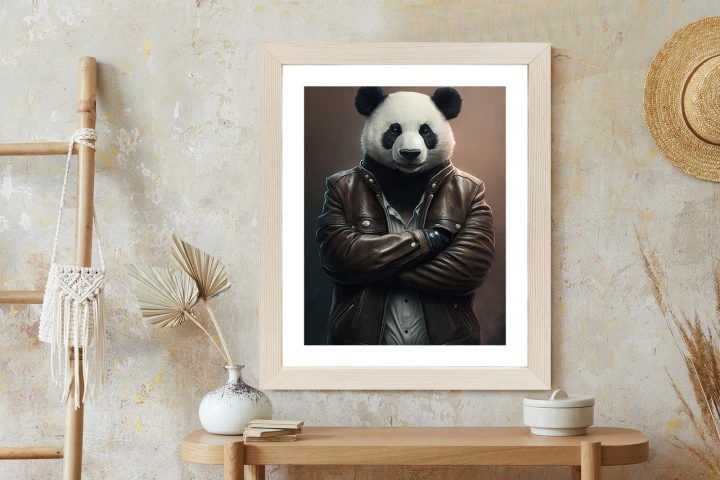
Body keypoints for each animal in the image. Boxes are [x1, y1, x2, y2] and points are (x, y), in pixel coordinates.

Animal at [316, 86, 495, 346]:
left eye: (425, 130)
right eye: (394, 129)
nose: (410, 153)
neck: (406, 179)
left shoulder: (478, 194)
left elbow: (472, 255)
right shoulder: (333, 192)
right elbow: (342, 248)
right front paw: (433, 238)